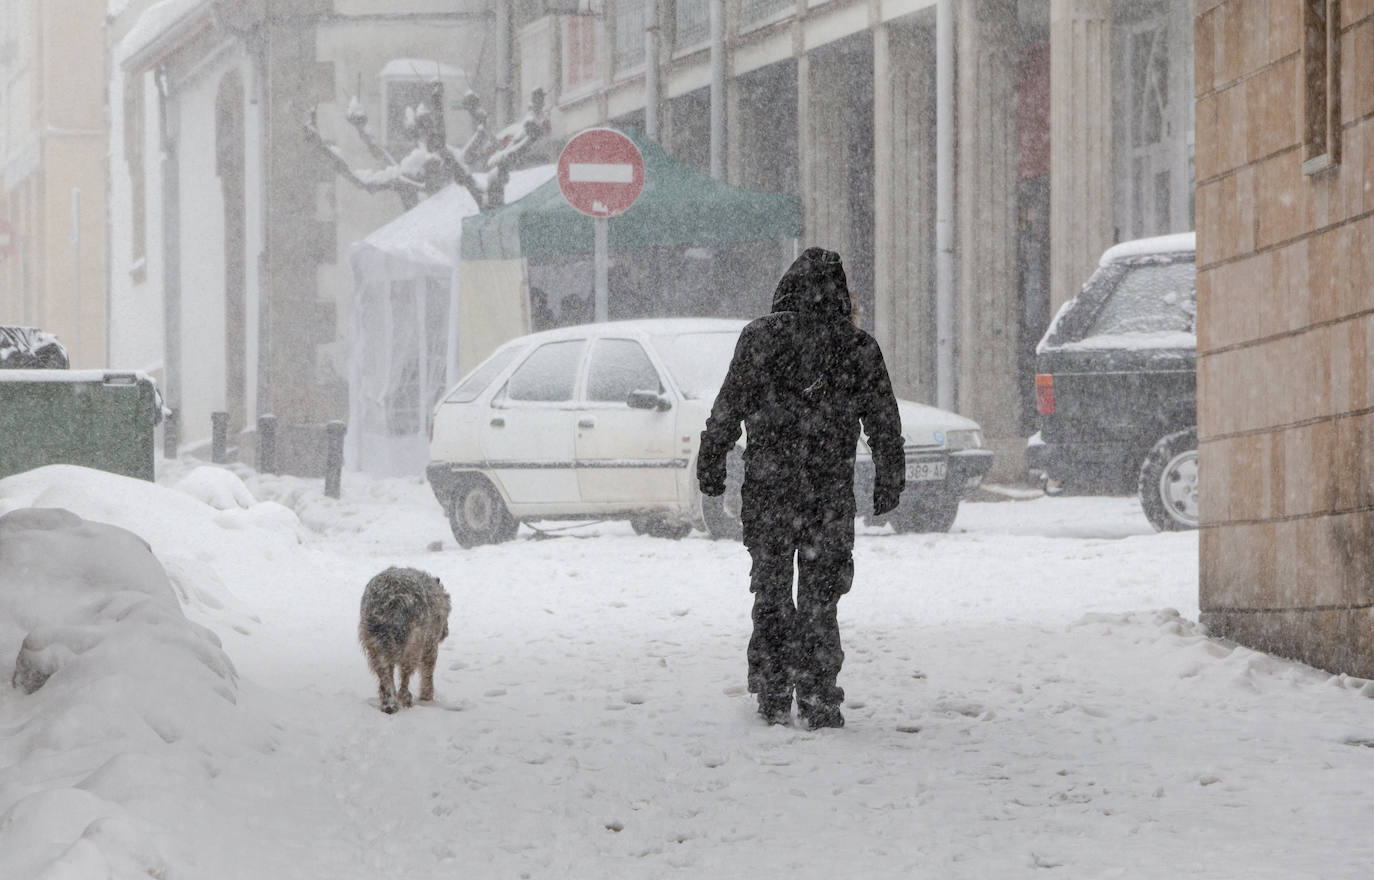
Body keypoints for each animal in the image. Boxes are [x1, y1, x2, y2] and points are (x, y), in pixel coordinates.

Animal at [359, 566, 450, 709]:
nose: (446, 632)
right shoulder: (429, 643)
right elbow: (428, 671)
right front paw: (427, 696)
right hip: (413, 645)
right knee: (405, 674)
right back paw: (404, 698)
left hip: (374, 642)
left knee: (385, 674)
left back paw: (389, 702)